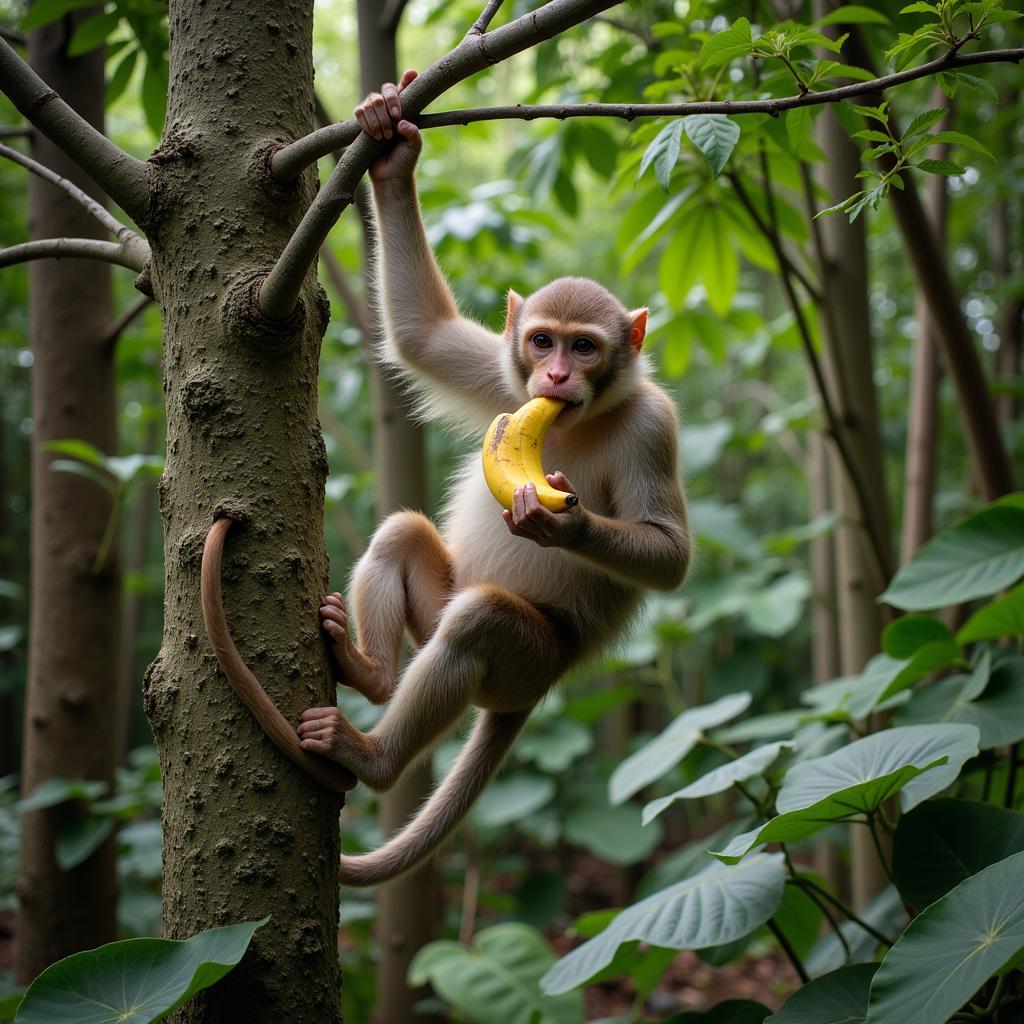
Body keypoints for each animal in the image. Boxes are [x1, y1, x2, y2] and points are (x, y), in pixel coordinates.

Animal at [299, 72, 696, 888]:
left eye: (584, 348)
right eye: (542, 341)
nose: (553, 377)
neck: (577, 418)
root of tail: (539, 690)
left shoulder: (655, 426)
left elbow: (670, 555)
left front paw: (561, 521)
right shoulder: (502, 376)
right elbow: (421, 336)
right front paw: (392, 152)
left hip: (528, 661)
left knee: (479, 622)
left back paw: (373, 756)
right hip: (445, 612)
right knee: (403, 538)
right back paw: (371, 673)